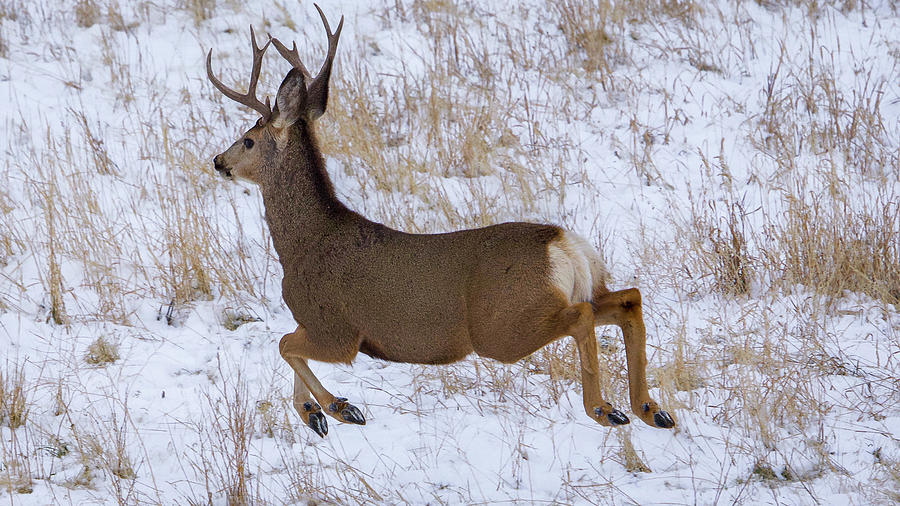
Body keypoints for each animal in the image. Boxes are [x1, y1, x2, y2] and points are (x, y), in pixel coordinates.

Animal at [209, 5, 676, 436]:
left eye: (248, 140)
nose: (218, 161)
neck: (303, 244)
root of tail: (560, 240)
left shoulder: (335, 327)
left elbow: (285, 344)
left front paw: (339, 407)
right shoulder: (314, 323)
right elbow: (290, 348)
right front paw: (313, 414)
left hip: (502, 326)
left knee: (583, 317)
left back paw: (604, 408)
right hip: (573, 293)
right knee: (627, 298)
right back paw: (651, 409)